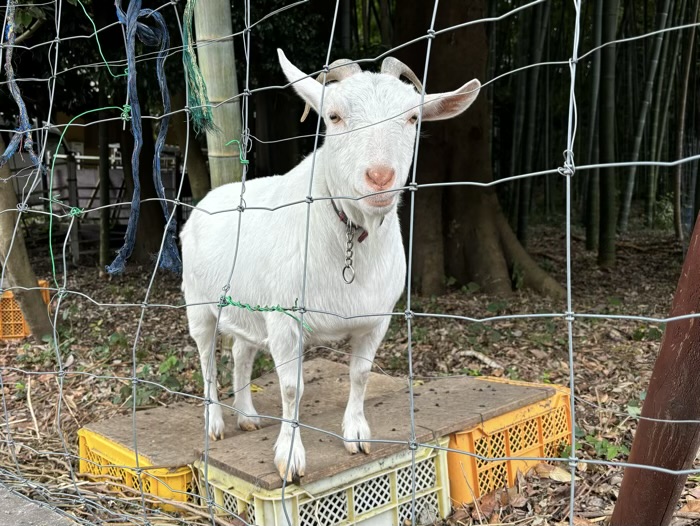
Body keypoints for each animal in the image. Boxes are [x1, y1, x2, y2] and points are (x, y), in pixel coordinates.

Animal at [179, 49, 482, 482]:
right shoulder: (285, 318)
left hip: (247, 305)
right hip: (199, 303)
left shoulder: (376, 319)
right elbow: (292, 388)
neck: (348, 230)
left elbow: (360, 374)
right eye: (334, 116)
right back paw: (216, 423)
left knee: (241, 351)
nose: (380, 177)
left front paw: (356, 434)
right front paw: (290, 457)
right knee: (206, 358)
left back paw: (248, 416)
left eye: (412, 118)